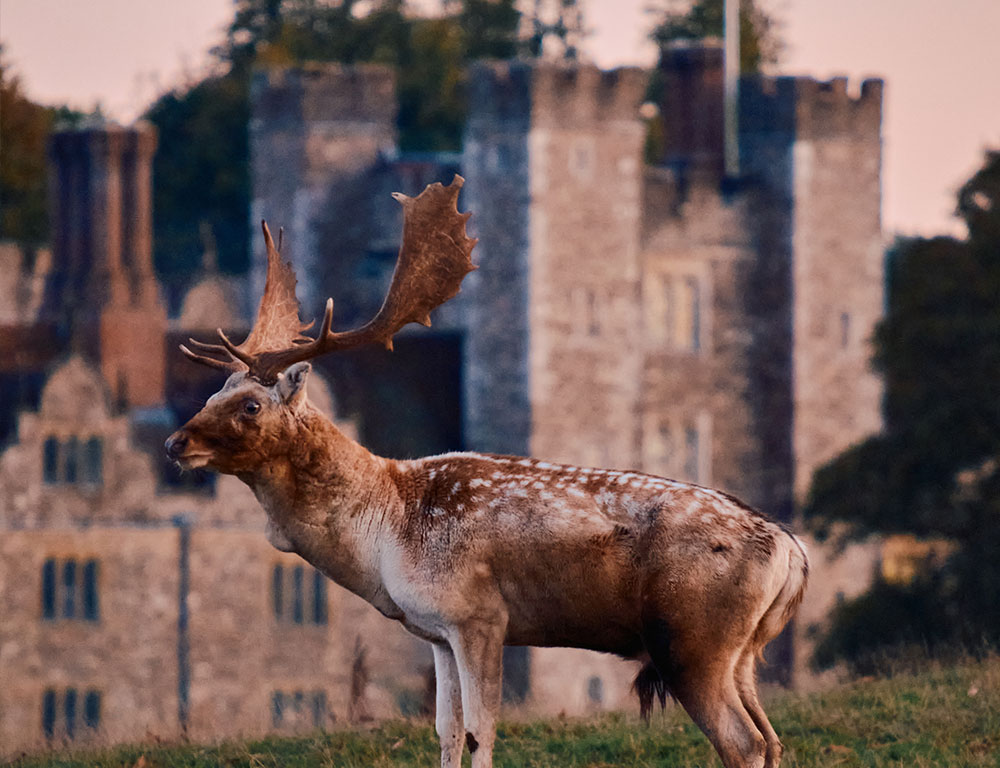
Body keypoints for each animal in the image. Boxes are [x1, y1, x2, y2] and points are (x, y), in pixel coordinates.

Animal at [165, 175, 808, 768]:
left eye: (250, 405)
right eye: (215, 391)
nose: (175, 442)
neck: (386, 530)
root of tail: (792, 553)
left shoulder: (479, 615)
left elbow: (480, 734)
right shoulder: (437, 631)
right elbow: (447, 734)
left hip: (693, 639)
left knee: (745, 743)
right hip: (742, 651)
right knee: (772, 739)